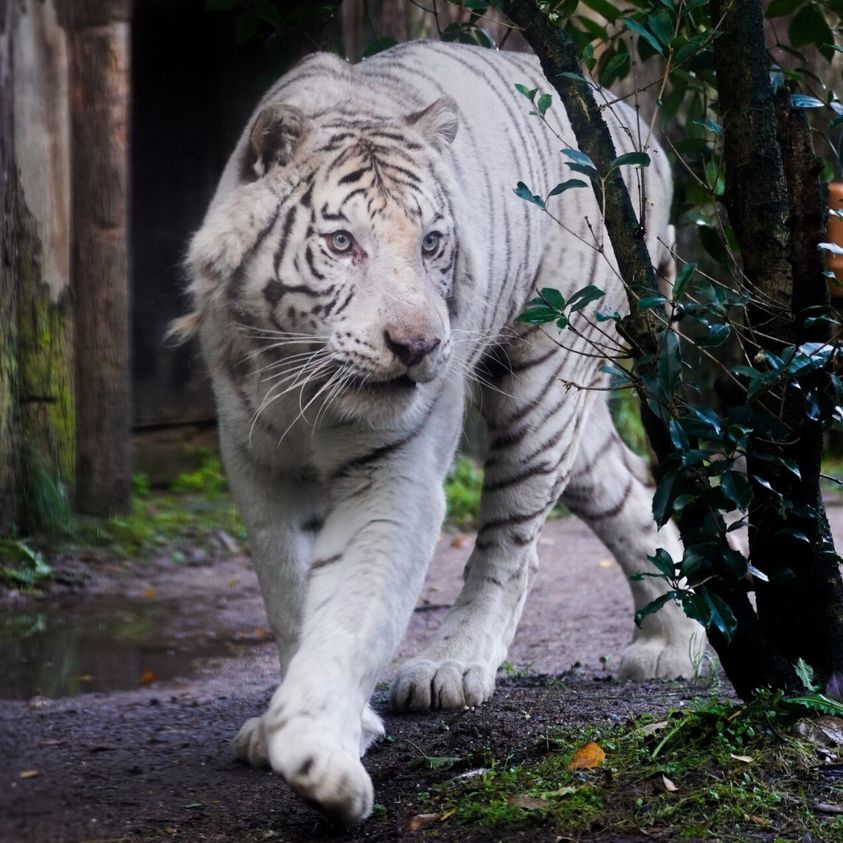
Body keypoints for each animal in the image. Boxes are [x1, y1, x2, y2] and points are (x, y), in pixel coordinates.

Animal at [180, 40, 704, 824]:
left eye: (431, 243)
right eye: (342, 243)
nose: (418, 345)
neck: (306, 381)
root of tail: (638, 130)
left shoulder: (393, 473)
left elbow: (351, 612)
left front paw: (317, 753)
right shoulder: (257, 464)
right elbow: (292, 597)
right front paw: (305, 726)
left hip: (542, 375)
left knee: (513, 544)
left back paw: (451, 666)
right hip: (572, 420)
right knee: (628, 494)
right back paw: (674, 642)